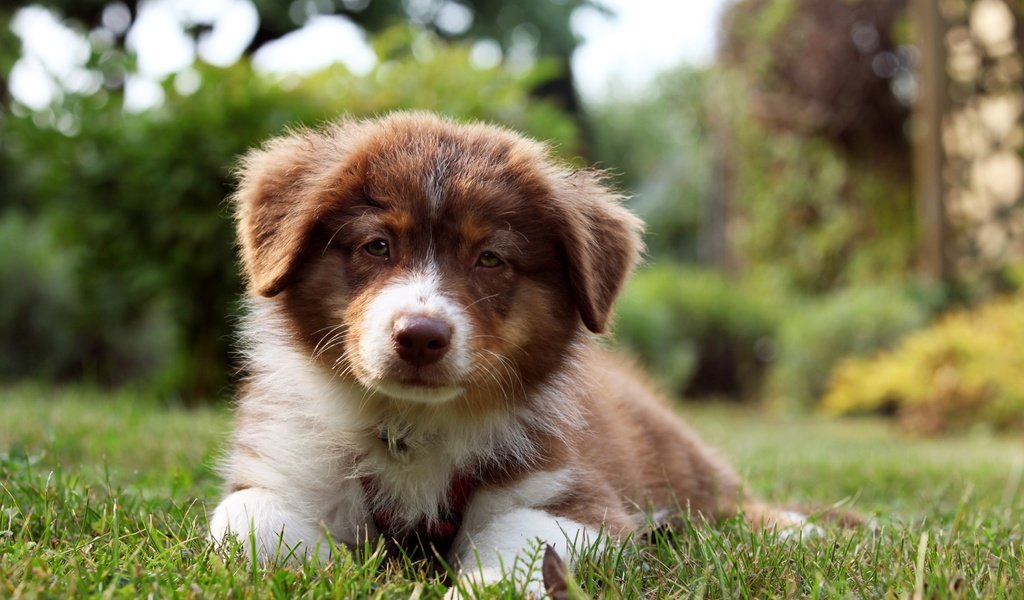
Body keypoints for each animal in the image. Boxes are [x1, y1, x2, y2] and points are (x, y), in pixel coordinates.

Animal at [209, 111, 806, 589]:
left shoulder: (575, 495)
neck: (410, 429)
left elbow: (521, 536)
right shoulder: (287, 463)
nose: (420, 336)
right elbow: (246, 517)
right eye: (377, 245)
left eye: (490, 258)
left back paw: (799, 530)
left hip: (671, 451)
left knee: (726, 499)